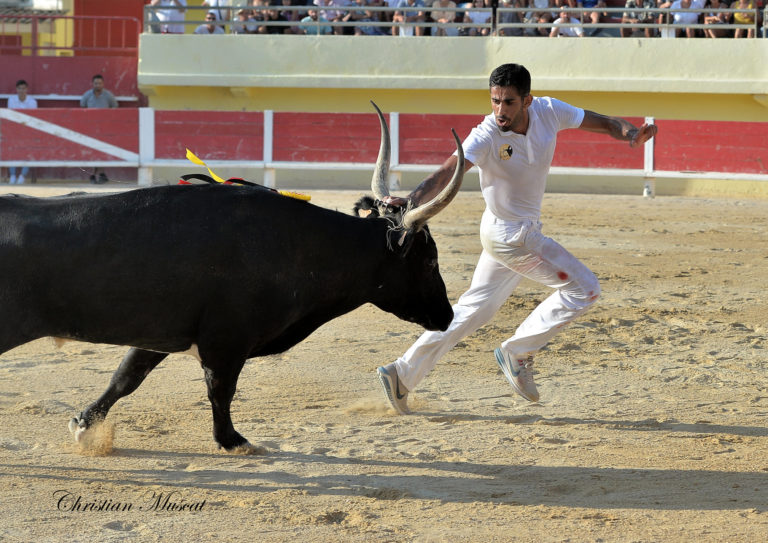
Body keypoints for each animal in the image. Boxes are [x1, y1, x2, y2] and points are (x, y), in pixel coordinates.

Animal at [0, 105, 464, 450]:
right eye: (428, 262)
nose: (447, 317)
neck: (300, 244)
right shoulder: (226, 341)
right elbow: (220, 389)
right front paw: (232, 440)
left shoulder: (162, 335)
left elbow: (126, 377)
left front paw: (83, 423)